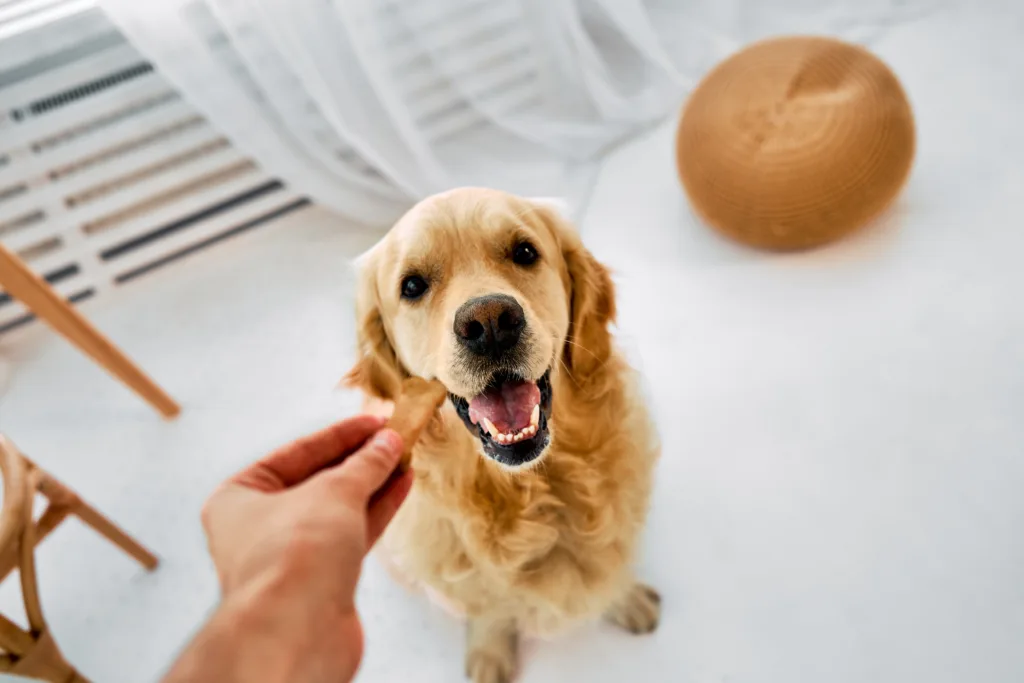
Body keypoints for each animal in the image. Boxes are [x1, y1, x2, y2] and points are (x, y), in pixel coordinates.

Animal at [348, 187, 659, 683]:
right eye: (412, 286)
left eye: (525, 252)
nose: (490, 322)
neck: (530, 492)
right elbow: (490, 607)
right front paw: (490, 651)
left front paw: (625, 599)